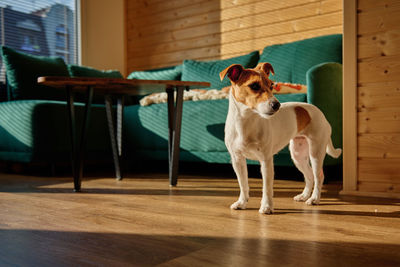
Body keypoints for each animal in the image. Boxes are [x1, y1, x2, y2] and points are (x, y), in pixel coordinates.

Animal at [219, 61, 340, 215]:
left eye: (272, 85)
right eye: (254, 86)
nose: (277, 105)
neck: (246, 122)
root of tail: (321, 114)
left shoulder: (266, 161)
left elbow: (266, 187)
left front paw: (266, 206)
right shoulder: (237, 160)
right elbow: (243, 184)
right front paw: (241, 202)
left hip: (316, 154)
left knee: (319, 176)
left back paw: (314, 199)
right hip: (298, 155)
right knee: (309, 176)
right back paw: (304, 195)